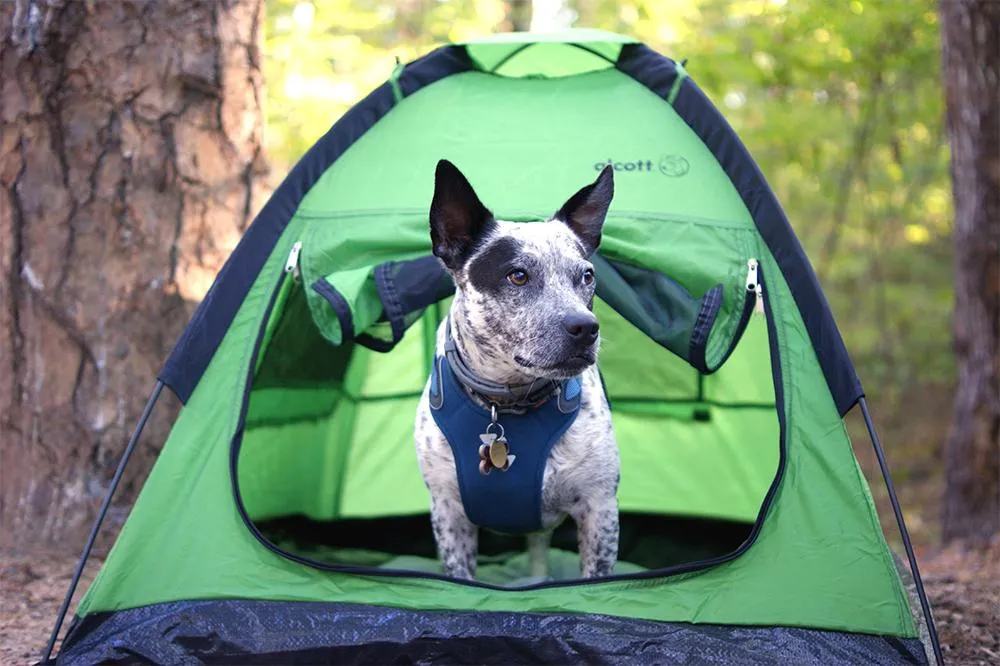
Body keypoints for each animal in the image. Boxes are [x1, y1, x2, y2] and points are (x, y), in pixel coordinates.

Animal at [412, 161, 616, 580]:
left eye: (586, 276)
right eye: (517, 275)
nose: (586, 327)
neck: (505, 401)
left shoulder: (599, 509)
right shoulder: (448, 513)